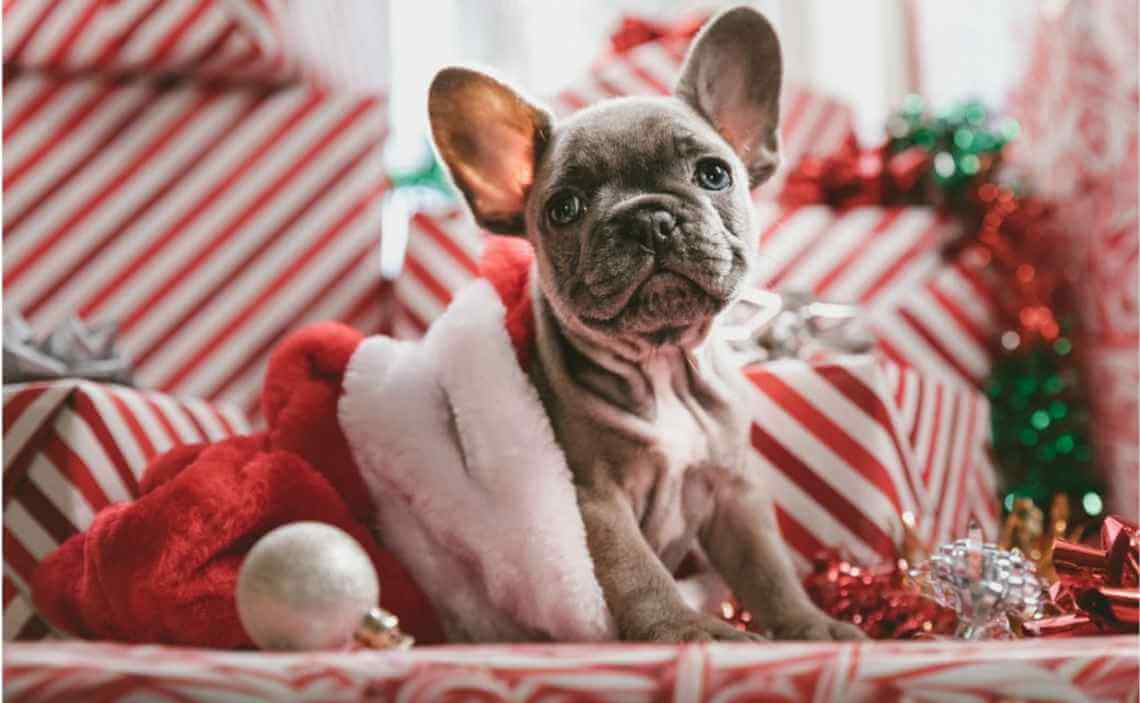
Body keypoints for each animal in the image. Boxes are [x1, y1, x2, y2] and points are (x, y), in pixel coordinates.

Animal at [428, 5, 861, 642]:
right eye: (564, 208)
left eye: (714, 175)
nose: (648, 218)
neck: (662, 363)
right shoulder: (595, 502)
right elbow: (640, 574)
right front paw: (689, 631)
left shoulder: (734, 490)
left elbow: (769, 567)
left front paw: (809, 626)